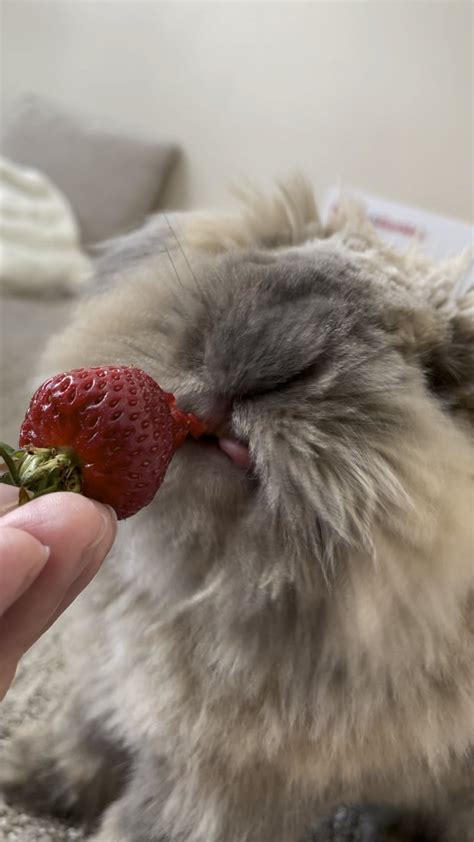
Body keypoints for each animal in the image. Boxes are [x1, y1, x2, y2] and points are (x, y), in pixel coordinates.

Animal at [0, 179, 474, 840]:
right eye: (276, 254)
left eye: (436, 378)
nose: (272, 352)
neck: (205, 583)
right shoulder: (106, 682)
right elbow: (85, 738)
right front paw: (22, 771)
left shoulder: (213, 783)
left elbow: (146, 820)